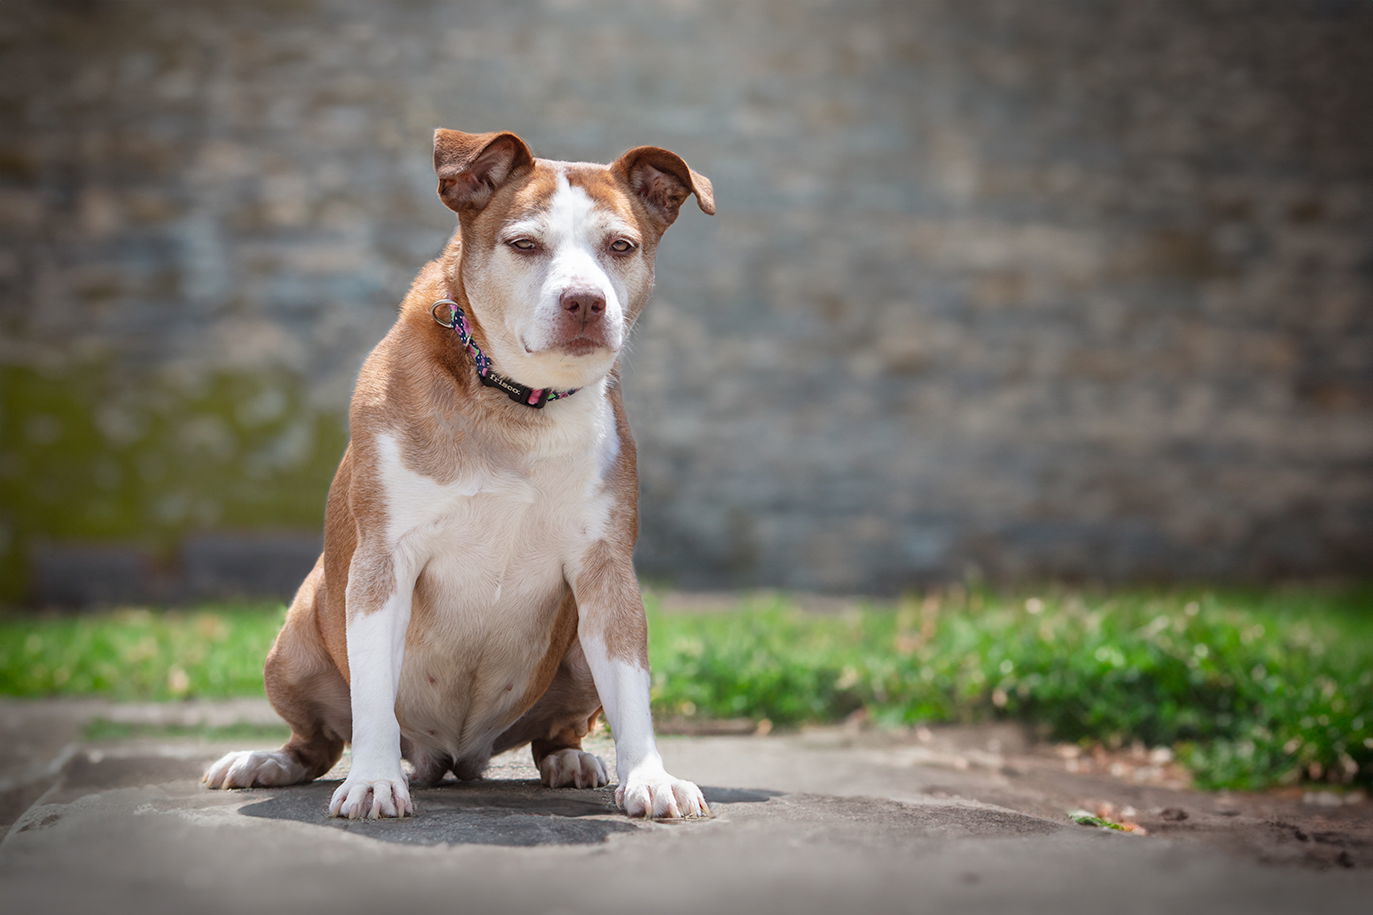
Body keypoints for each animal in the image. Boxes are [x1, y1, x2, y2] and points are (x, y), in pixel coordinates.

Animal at [205, 129, 719, 818]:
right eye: (524, 244)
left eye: (621, 246)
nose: (585, 301)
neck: (516, 401)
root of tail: (452, 755)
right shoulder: (383, 561)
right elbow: (372, 696)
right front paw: (373, 781)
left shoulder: (607, 573)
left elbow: (632, 693)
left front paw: (650, 778)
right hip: (297, 636)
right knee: (315, 739)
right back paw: (262, 761)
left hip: (576, 649)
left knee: (556, 730)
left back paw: (573, 761)